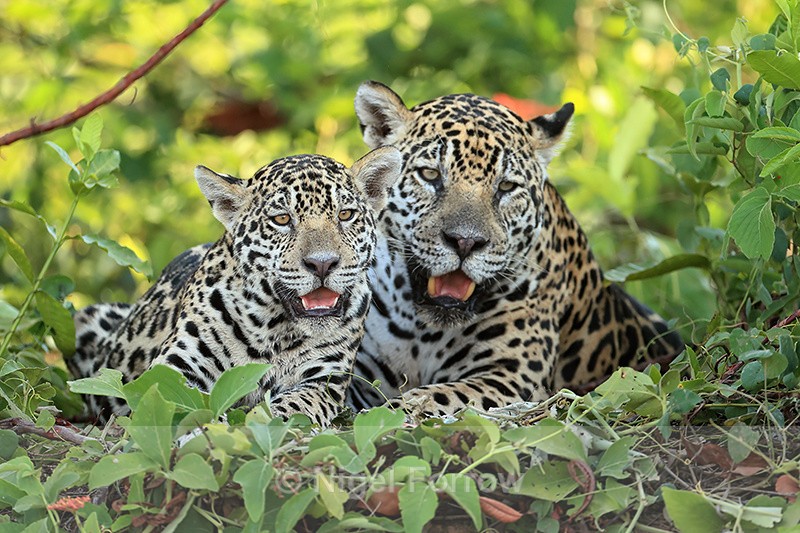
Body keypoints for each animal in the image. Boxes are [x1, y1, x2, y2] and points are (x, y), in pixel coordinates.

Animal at [68, 148, 401, 426]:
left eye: (345, 215)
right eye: (282, 219)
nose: (322, 264)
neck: (277, 331)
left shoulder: (323, 381)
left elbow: (293, 407)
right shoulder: (174, 366)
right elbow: (178, 400)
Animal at [347, 81, 685, 417]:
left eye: (507, 187)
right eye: (430, 175)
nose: (465, 242)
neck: (422, 331)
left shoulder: (511, 377)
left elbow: (435, 398)